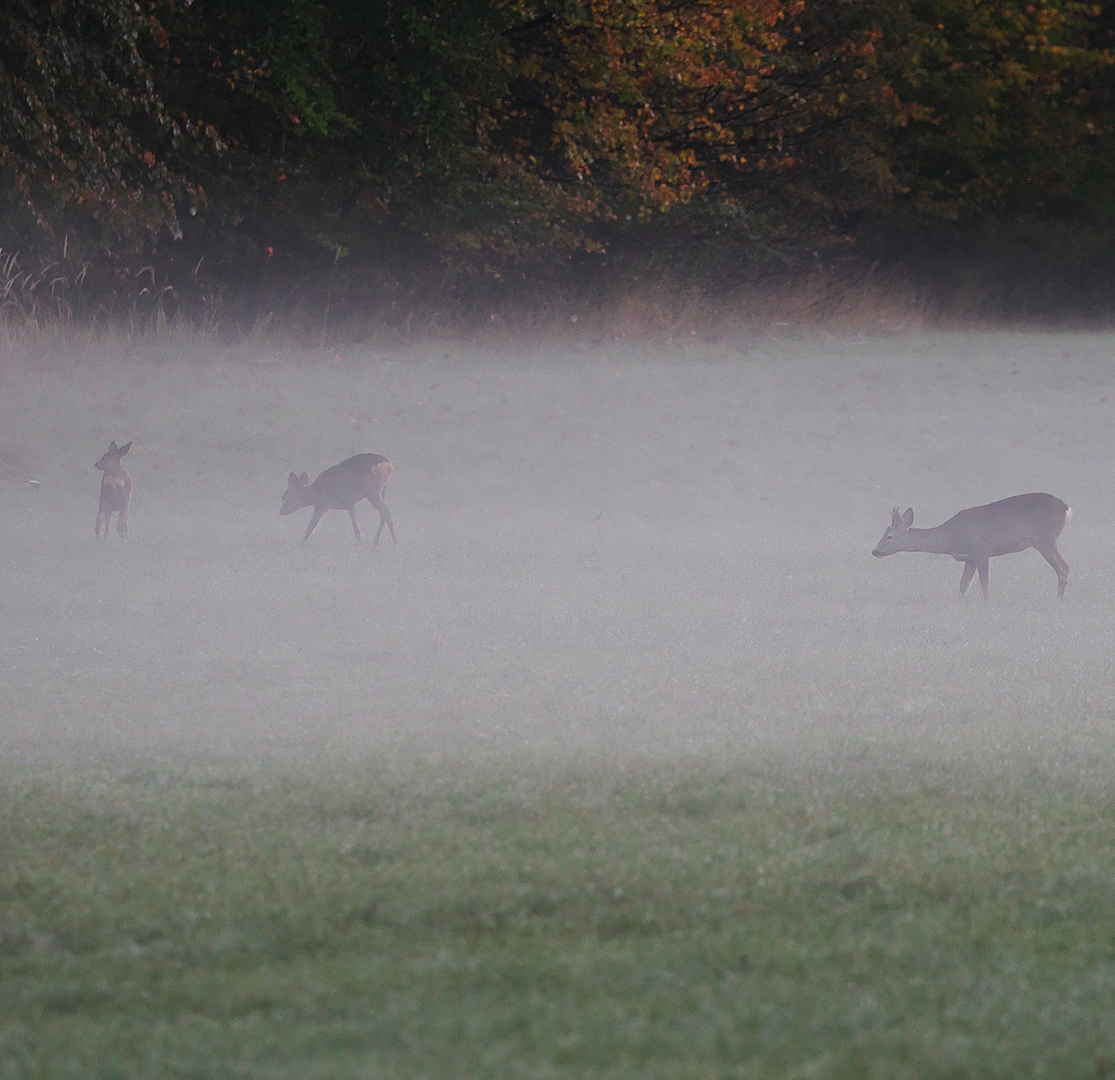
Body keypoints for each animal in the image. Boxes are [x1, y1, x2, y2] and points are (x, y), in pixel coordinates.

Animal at [869, 490, 1070, 597]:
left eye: (889, 536)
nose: (875, 551)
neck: (950, 537)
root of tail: (1066, 508)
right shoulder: (969, 558)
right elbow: (963, 585)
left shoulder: (980, 549)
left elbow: (984, 581)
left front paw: (986, 603)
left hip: (1045, 538)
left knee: (1063, 569)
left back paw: (1058, 601)